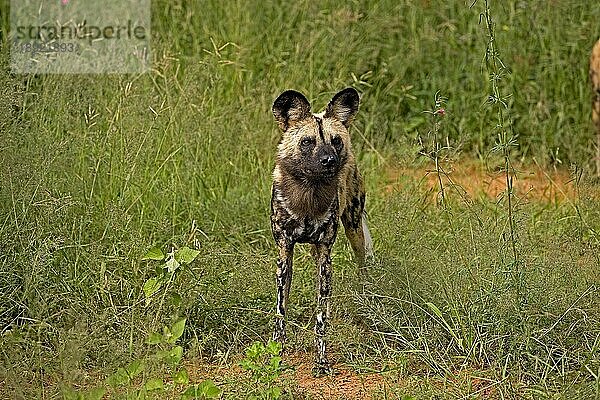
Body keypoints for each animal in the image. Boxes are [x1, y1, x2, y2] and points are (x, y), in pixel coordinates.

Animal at [270, 86, 370, 376]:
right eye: (307, 142)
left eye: (336, 140)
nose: (329, 161)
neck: (308, 195)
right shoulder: (285, 252)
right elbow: (281, 310)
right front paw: (276, 352)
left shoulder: (326, 256)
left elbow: (321, 318)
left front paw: (321, 361)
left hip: (353, 228)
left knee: (362, 263)